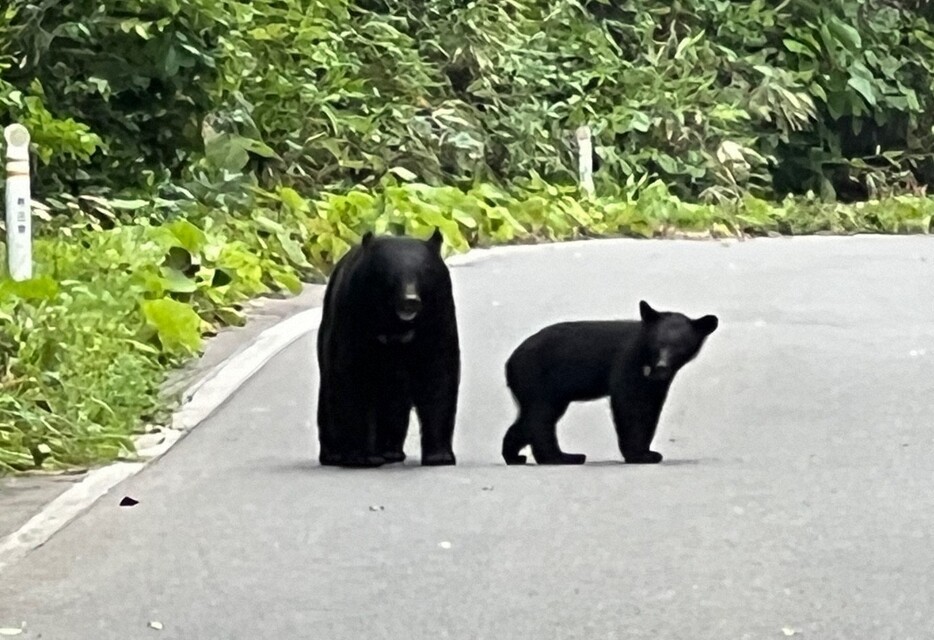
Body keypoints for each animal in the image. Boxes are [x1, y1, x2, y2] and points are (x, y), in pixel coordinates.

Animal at [318, 228, 460, 468]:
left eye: (424, 271)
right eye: (391, 275)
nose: (410, 301)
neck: (395, 325)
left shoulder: (439, 316)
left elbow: (439, 376)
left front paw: (440, 456)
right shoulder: (353, 315)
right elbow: (354, 376)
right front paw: (361, 457)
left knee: (394, 402)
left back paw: (390, 451)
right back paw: (335, 454)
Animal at [504, 300, 716, 464]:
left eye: (680, 346)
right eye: (658, 343)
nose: (662, 366)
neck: (646, 357)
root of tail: (510, 360)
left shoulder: (655, 383)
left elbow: (650, 407)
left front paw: (646, 451)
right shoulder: (627, 364)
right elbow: (631, 405)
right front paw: (640, 455)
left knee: (531, 418)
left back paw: (515, 456)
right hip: (538, 378)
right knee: (541, 417)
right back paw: (561, 458)